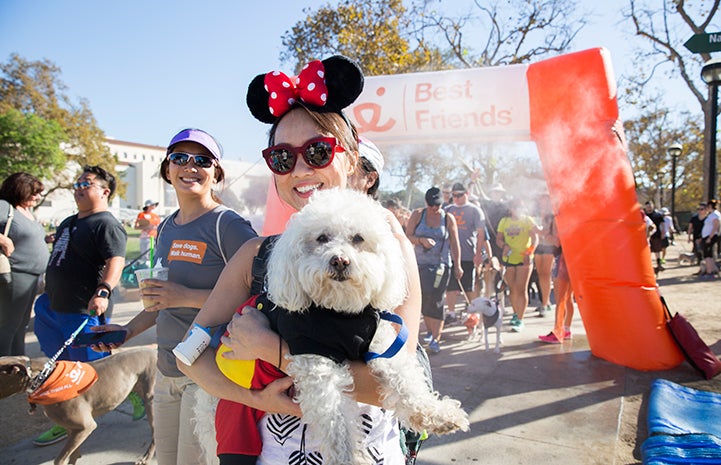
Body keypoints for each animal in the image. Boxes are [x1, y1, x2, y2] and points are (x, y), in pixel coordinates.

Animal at [0, 346, 157, 464]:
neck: (43, 377)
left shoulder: (86, 426)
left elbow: (59, 459)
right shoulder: (73, 429)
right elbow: (73, 454)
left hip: (151, 402)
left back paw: (145, 457)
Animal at [264, 188, 466, 464]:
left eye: (358, 238)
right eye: (322, 238)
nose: (339, 260)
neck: (342, 314)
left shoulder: (382, 344)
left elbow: (407, 380)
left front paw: (437, 413)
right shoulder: (315, 359)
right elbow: (335, 420)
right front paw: (348, 457)